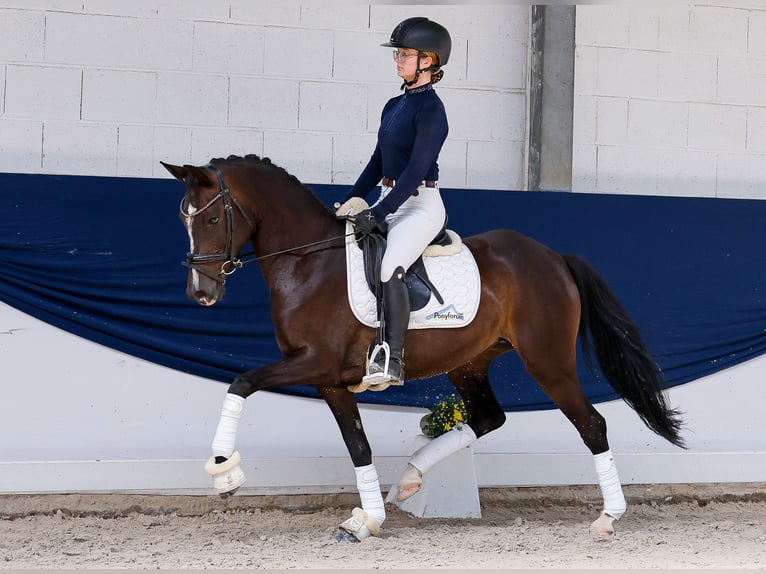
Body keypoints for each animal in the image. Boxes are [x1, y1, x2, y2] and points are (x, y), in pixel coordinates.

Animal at [161, 154, 685, 540]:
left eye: (212, 217)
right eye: (183, 220)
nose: (200, 293)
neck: (308, 262)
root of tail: (554, 257)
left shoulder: (313, 363)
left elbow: (241, 382)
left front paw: (225, 472)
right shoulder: (330, 380)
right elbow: (357, 445)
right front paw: (366, 519)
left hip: (547, 361)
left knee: (591, 424)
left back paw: (608, 517)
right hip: (470, 361)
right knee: (488, 418)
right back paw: (411, 479)